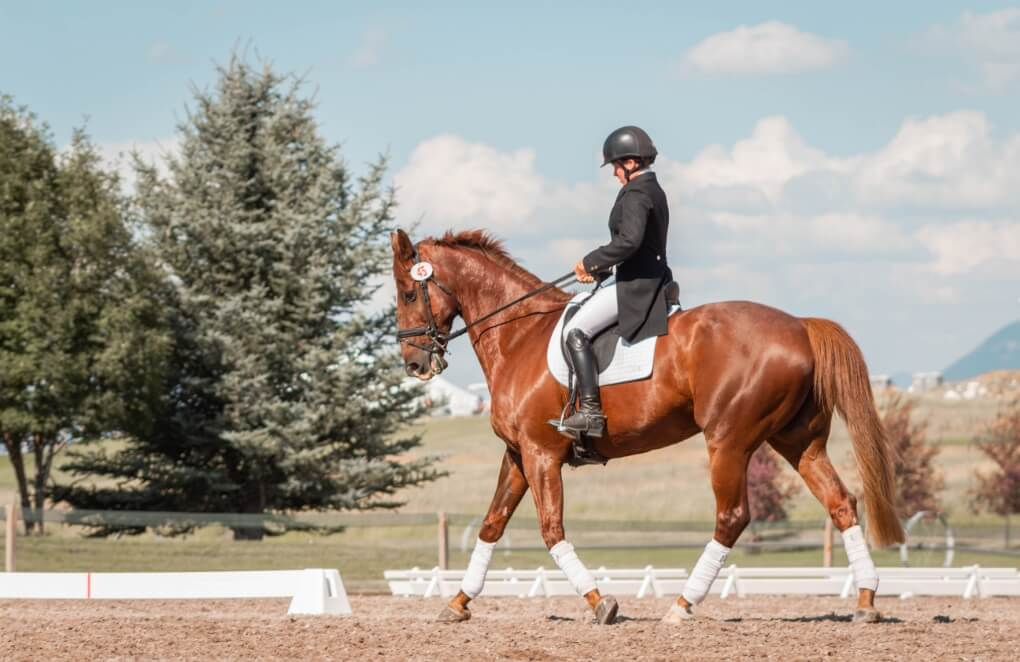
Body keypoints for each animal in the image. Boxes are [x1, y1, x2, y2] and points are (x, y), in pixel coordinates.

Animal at [387, 228, 901, 624]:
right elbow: (492, 525)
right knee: (841, 502)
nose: (414, 364)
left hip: (728, 441)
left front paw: (600, 603)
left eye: (410, 293)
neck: (519, 335)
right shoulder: (518, 454)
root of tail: (799, 326)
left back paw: (682, 606)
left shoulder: (541, 453)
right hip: (798, 441)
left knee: (732, 517)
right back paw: (866, 601)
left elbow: (551, 529)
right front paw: (457, 603)